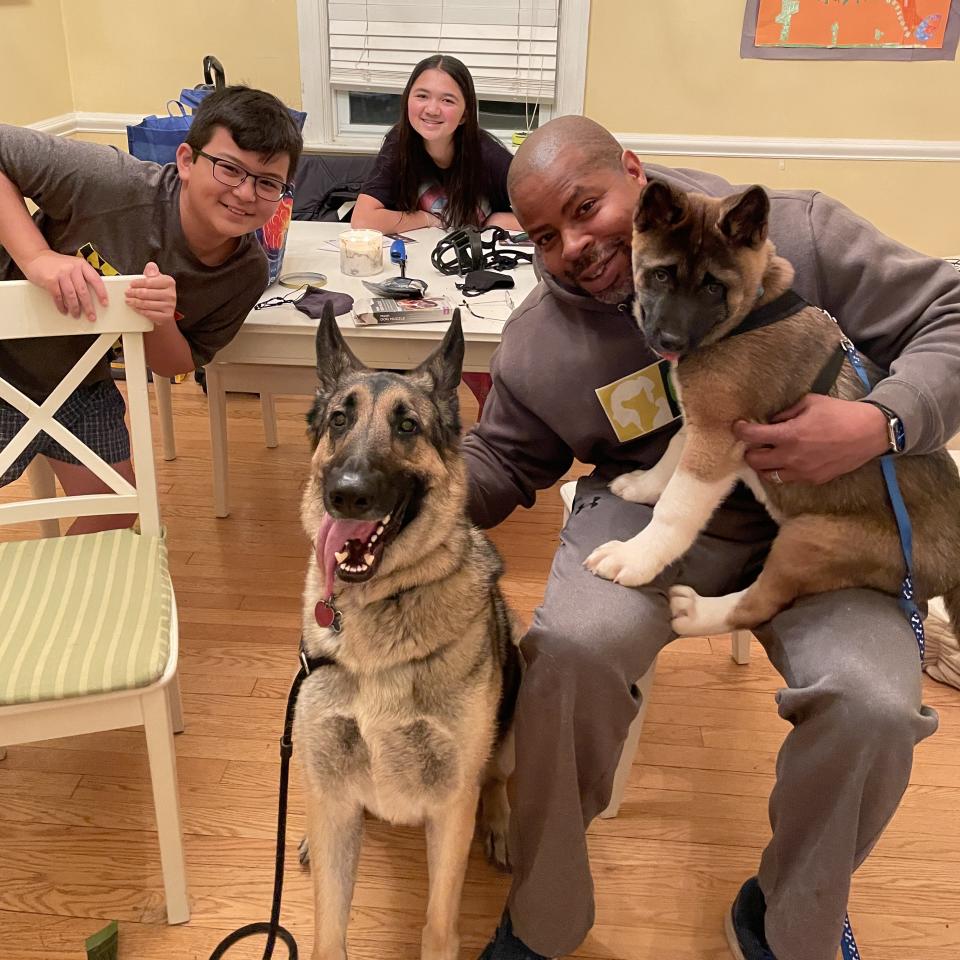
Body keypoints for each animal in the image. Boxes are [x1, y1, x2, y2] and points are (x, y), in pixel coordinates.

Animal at [294, 308, 520, 960]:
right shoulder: (334, 793)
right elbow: (328, 932)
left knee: (497, 778)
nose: (345, 493)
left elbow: (439, 926)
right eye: (339, 419)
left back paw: (499, 824)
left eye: (408, 426)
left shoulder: (449, 807)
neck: (380, 604)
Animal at [580, 180, 960, 640]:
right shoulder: (700, 421)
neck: (749, 313)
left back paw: (697, 612)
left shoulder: (717, 438)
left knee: (759, 605)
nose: (668, 341)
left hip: (811, 536)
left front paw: (635, 557)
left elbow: (676, 509)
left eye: (713, 287)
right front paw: (642, 487)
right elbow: (670, 456)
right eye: (661, 274)